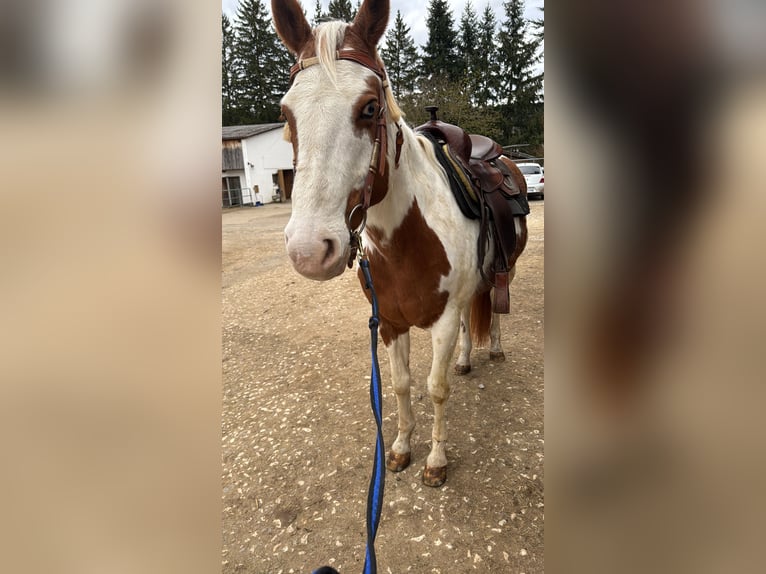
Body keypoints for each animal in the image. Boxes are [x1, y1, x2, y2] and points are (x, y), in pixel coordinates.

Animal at [272, 0, 528, 487]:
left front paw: (436, 460)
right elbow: (401, 385)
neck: (405, 242)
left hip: (504, 268)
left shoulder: (441, 321)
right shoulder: (389, 323)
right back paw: (466, 358)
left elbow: (436, 388)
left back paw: (495, 347)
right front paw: (401, 448)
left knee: (494, 300)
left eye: (370, 108)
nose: (309, 251)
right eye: (285, 113)